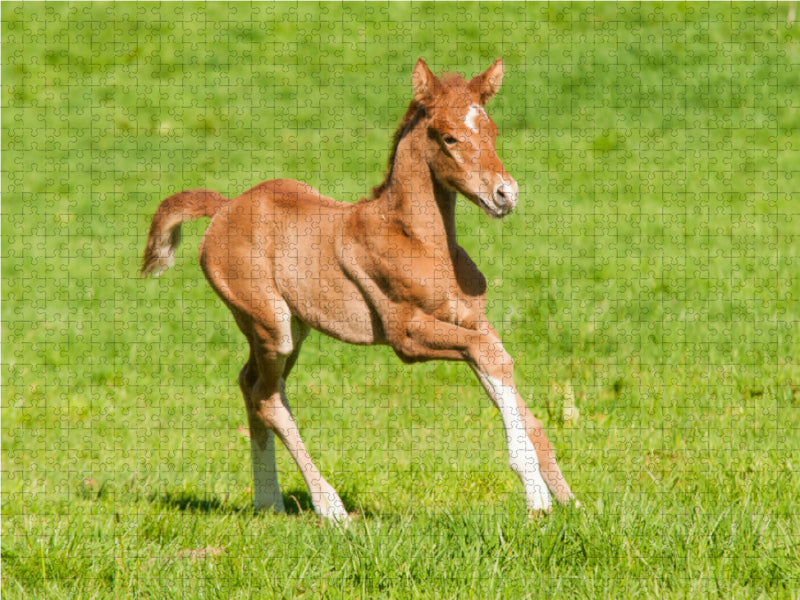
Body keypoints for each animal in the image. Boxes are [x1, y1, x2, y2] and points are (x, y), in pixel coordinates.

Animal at [139, 58, 576, 524]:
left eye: (492, 131)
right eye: (449, 137)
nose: (505, 194)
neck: (421, 243)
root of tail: (223, 207)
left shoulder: (473, 320)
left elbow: (504, 370)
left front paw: (572, 501)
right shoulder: (407, 335)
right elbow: (488, 356)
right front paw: (538, 498)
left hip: (293, 328)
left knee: (253, 385)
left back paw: (269, 502)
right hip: (270, 324)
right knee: (265, 397)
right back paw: (330, 508)